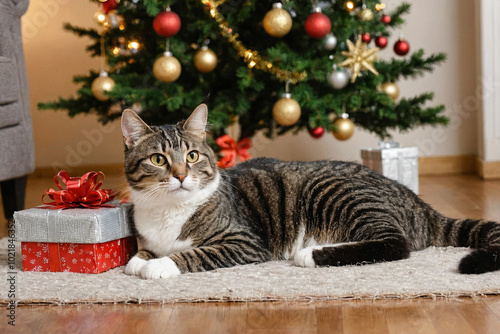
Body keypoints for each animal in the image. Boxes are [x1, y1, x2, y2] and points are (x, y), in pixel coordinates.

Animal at [120, 104, 500, 280]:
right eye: (158, 159)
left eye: (192, 156)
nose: (181, 175)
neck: (169, 211)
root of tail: (415, 200)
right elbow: (139, 254)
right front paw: (141, 260)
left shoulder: (243, 241)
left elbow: (194, 253)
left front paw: (159, 265)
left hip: (335, 191)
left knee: (395, 243)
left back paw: (311, 254)